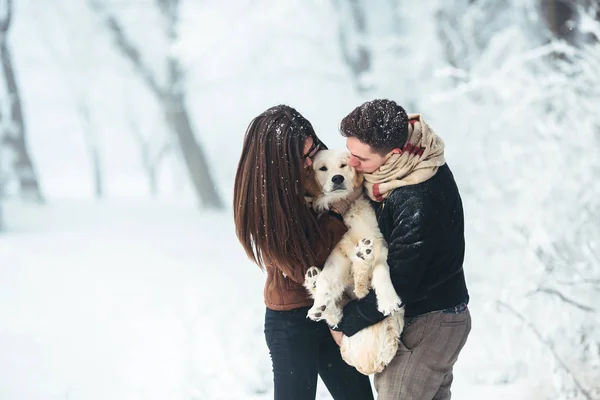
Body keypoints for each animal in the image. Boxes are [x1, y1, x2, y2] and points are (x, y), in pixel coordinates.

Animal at [302, 148, 406, 376]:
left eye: (344, 165)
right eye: (322, 168)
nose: (337, 178)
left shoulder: (380, 242)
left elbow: (382, 271)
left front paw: (388, 299)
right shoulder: (337, 254)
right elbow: (327, 280)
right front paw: (318, 301)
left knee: (363, 289)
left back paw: (362, 255)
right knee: (338, 312)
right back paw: (315, 287)